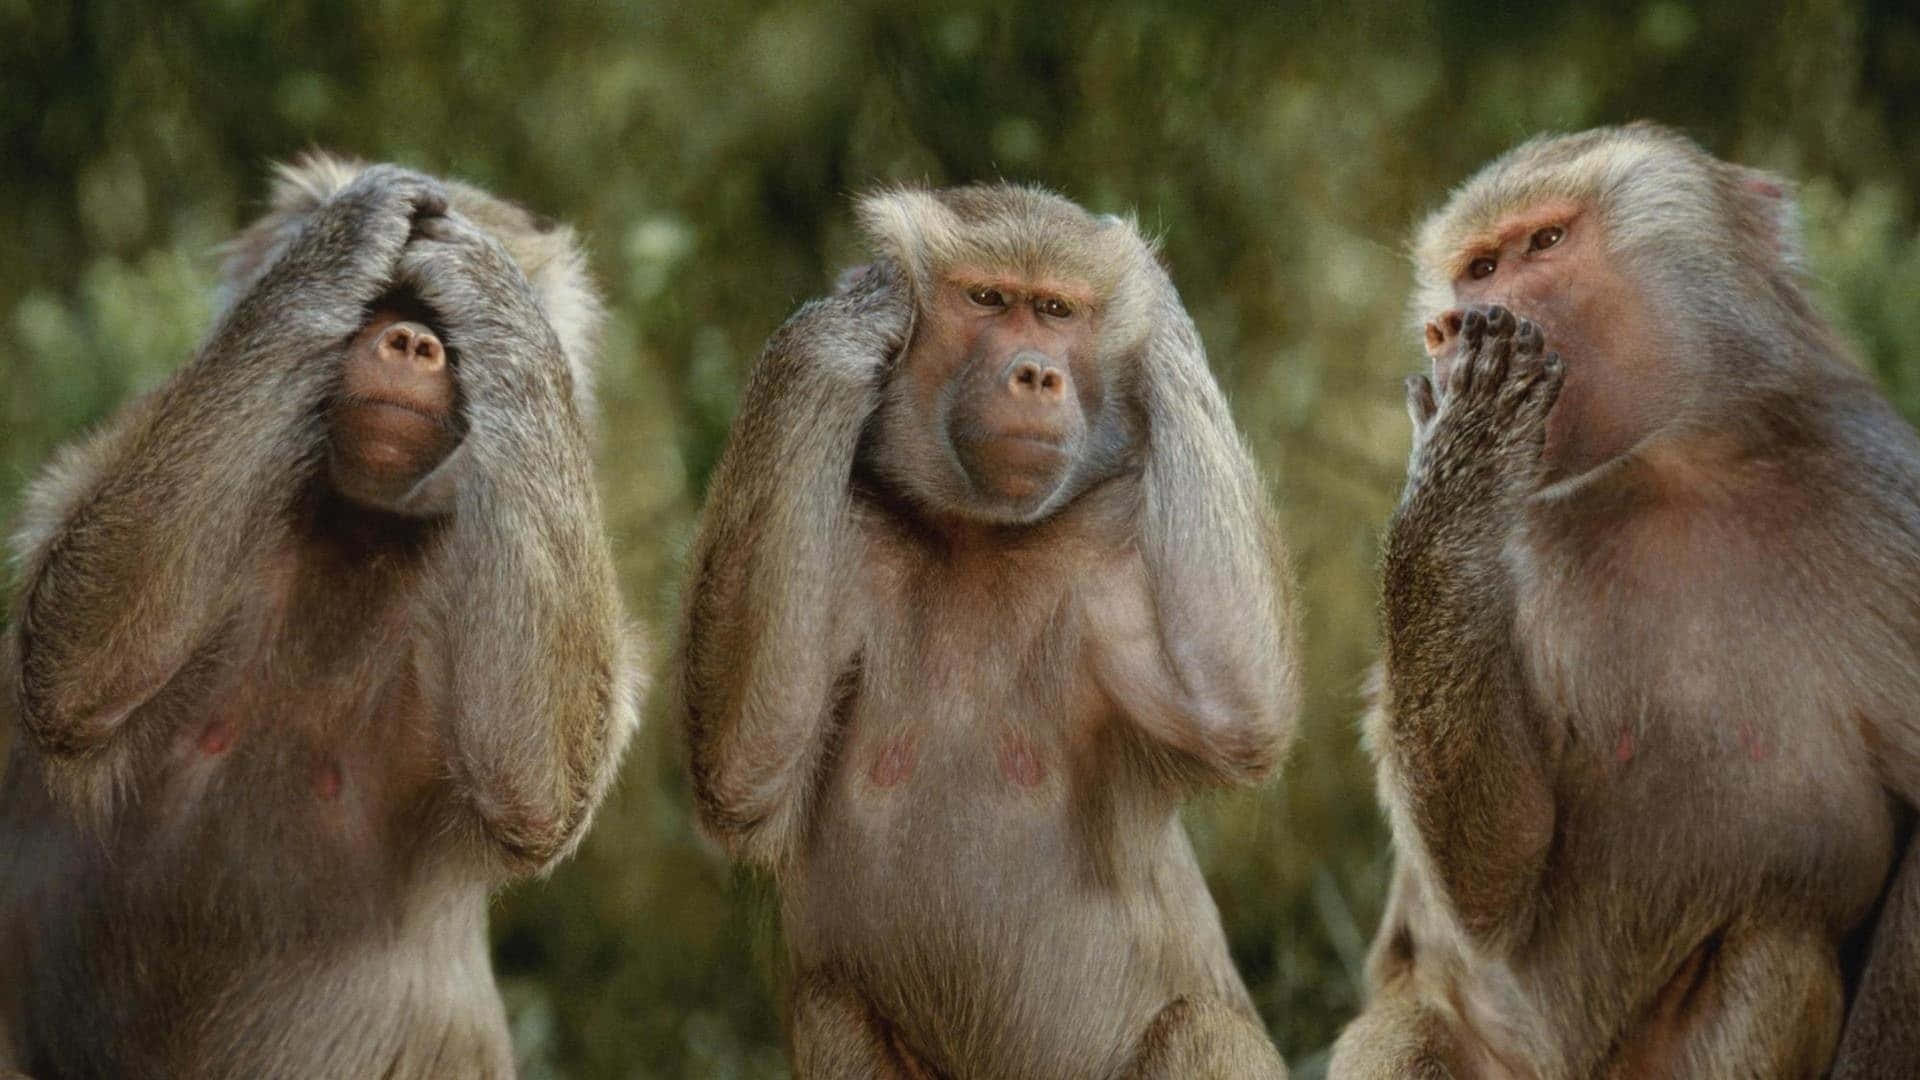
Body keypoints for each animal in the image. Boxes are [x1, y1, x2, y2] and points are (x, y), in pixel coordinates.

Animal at [0, 155, 642, 1079]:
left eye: (442, 323)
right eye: (383, 302)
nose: (412, 342)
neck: (355, 525)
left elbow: (538, 786)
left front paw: (489, 280)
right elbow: (71, 664)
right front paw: (349, 232)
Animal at [674, 184, 1300, 1079]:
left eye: (1057, 309)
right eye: (989, 299)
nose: (1035, 373)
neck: (977, 536)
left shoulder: (1108, 550)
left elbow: (1235, 710)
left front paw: (1161, 312)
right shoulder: (850, 535)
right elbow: (743, 773)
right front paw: (849, 319)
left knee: (1203, 1029)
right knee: (831, 1009)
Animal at [1328, 122, 1920, 1079]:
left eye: (1544, 243)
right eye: (1477, 268)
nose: (1446, 326)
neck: (1669, 473)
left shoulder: (1878, 496)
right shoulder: (1518, 543)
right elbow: (1496, 885)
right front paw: (1460, 454)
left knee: (1777, 954)